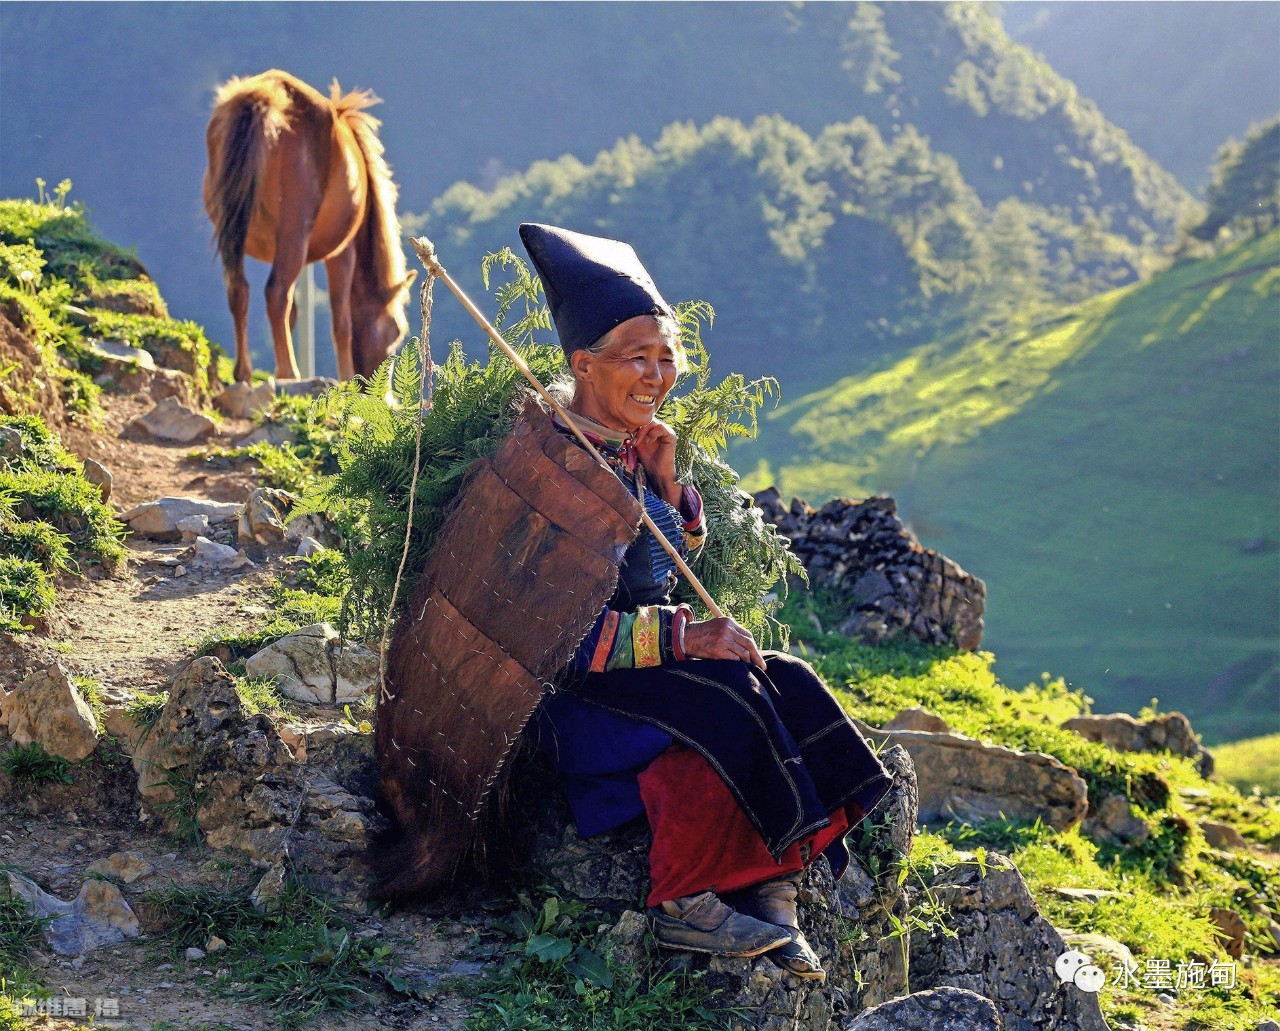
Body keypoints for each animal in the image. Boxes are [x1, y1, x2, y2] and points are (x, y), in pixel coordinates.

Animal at [202, 70, 417, 381]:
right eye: (396, 332)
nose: (380, 389)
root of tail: (265, 97)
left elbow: (294, 314)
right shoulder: (342, 253)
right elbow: (342, 322)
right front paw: (345, 378)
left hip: (235, 234)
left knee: (239, 290)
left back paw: (244, 373)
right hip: (294, 231)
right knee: (276, 293)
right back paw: (288, 373)